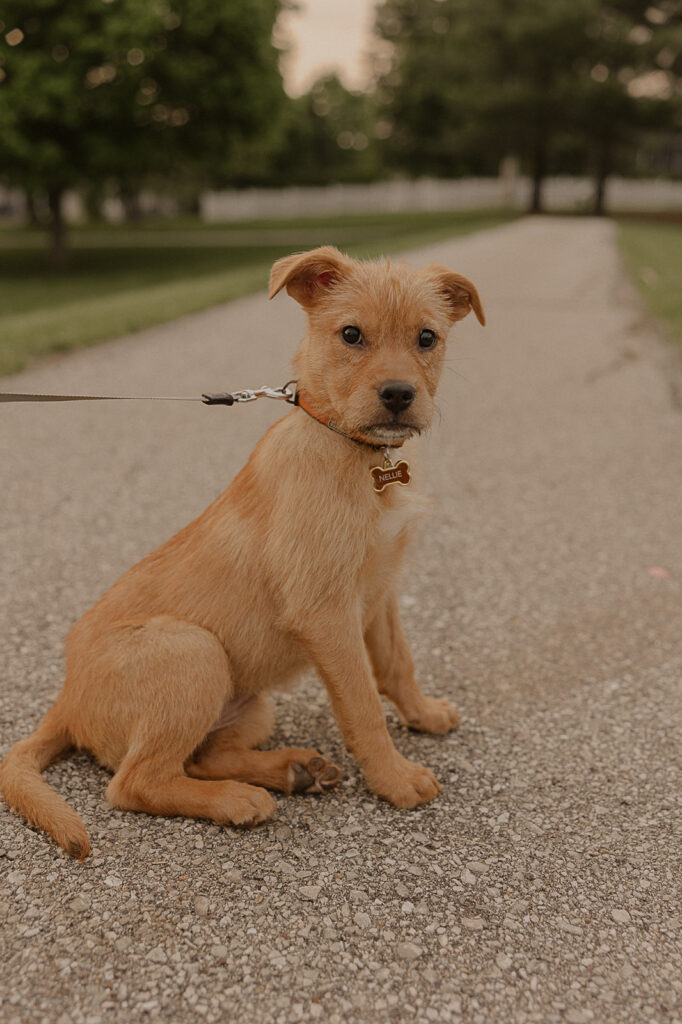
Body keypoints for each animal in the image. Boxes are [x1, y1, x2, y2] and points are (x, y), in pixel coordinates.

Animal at [0, 245, 483, 856]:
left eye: (427, 337)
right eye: (351, 334)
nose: (399, 395)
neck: (355, 453)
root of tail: (67, 698)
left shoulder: (379, 589)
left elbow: (398, 663)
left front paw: (423, 715)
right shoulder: (326, 610)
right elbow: (363, 706)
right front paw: (396, 780)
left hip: (249, 703)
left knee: (201, 757)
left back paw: (292, 770)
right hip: (193, 651)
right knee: (134, 782)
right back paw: (240, 800)